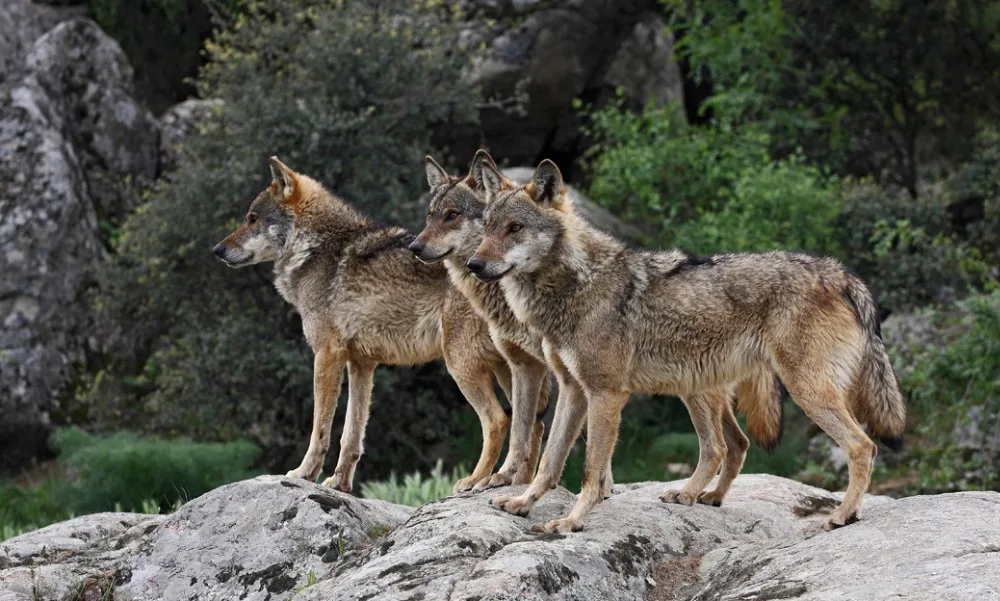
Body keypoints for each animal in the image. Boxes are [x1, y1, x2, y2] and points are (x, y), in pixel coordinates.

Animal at [213, 156, 516, 493]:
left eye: (253, 219)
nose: (217, 250)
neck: (316, 249)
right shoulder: (361, 364)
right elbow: (351, 435)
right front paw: (339, 483)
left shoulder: (326, 355)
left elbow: (320, 428)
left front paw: (303, 474)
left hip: (461, 365)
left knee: (498, 420)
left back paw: (477, 480)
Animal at [411, 150, 785, 499]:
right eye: (430, 216)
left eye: (452, 215)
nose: (415, 246)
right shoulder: (525, 367)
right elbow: (523, 430)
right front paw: (507, 480)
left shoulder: (580, 376)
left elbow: (574, 437)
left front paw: (597, 488)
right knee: (738, 441)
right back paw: (711, 497)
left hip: (692, 385)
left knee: (723, 443)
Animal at [468, 158, 906, 533]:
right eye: (487, 228)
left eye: (514, 228)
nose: (474, 264)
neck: (576, 284)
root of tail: (840, 273)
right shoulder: (574, 390)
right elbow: (550, 460)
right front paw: (521, 503)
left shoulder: (606, 394)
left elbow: (592, 470)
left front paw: (572, 521)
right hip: (698, 386)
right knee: (722, 447)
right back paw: (698, 495)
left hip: (802, 392)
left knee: (862, 446)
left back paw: (843, 515)